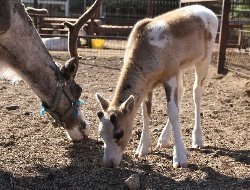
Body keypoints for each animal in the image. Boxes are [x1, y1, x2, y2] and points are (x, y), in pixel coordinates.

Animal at [96, 4, 218, 168]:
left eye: (119, 133)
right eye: (101, 133)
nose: (109, 163)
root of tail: (209, 11)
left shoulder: (170, 73)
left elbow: (172, 111)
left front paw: (180, 159)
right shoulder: (149, 83)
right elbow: (145, 111)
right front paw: (141, 149)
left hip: (205, 57)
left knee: (196, 90)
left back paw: (197, 140)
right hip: (181, 67)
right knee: (182, 89)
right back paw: (163, 140)